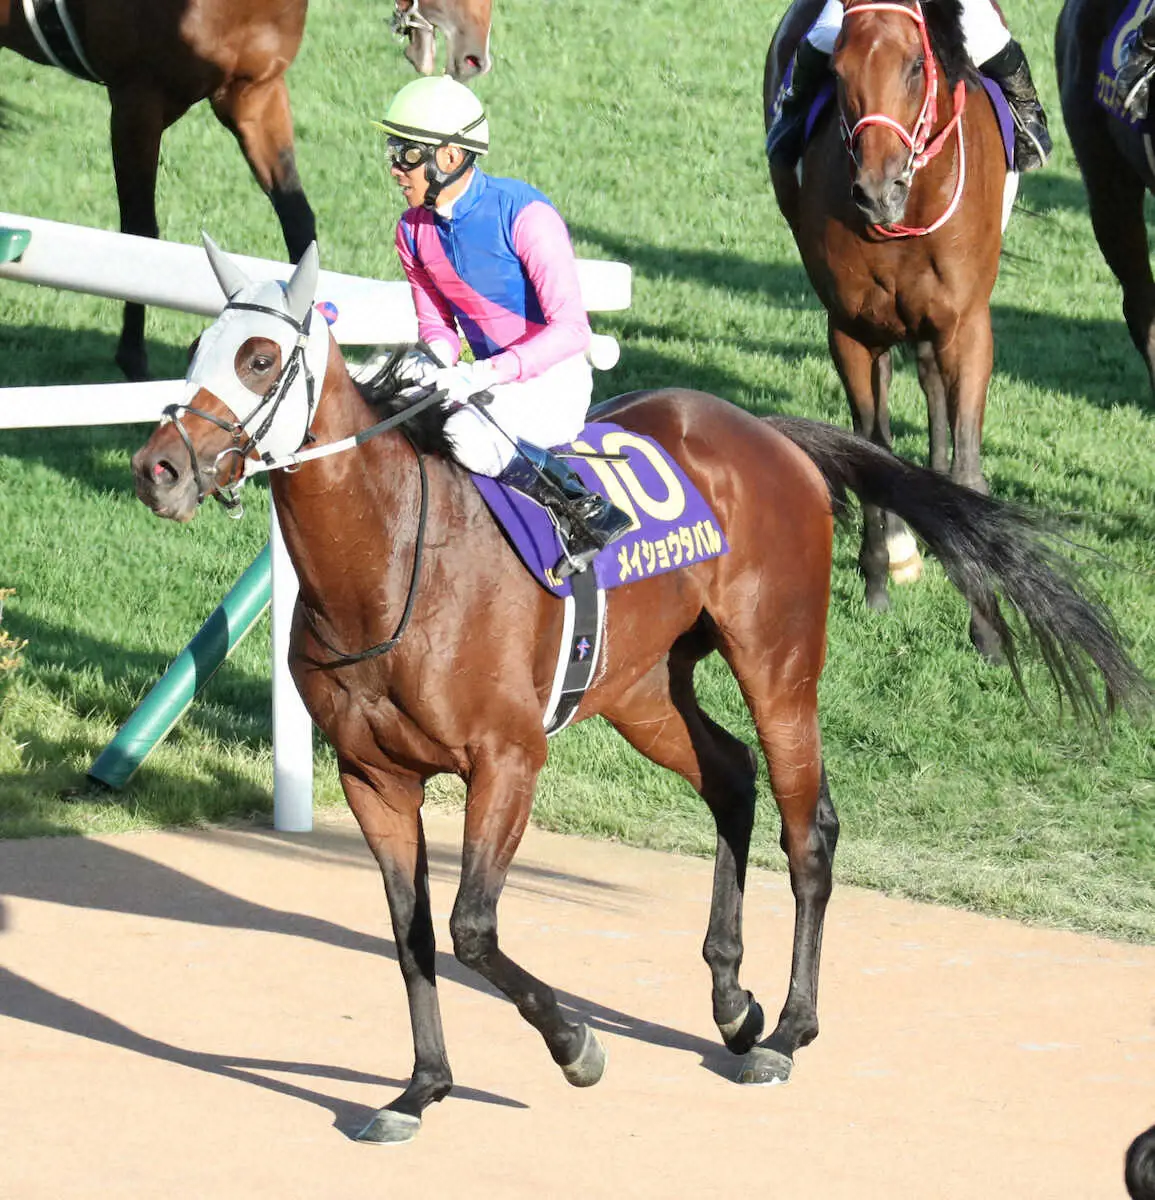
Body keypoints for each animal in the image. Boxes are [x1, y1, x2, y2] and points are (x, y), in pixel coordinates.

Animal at [0, 0, 489, 379]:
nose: (474, 56)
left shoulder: (255, 94)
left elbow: (298, 221)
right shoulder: (136, 101)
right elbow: (140, 233)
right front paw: (133, 359)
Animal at [126, 241, 1142, 1142]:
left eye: (259, 358)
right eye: (197, 345)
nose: (157, 469)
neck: (389, 565)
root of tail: (771, 432)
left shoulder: (507, 759)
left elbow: (470, 928)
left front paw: (575, 1045)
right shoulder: (372, 777)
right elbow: (411, 933)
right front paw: (421, 1089)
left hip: (777, 665)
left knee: (806, 828)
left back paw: (787, 1030)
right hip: (643, 690)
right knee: (730, 775)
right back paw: (732, 1003)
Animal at [758, 0, 1013, 657]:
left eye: (915, 66)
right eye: (838, 69)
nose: (875, 191)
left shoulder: (967, 326)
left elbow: (968, 459)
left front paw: (987, 626)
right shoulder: (852, 331)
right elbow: (871, 448)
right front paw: (879, 574)